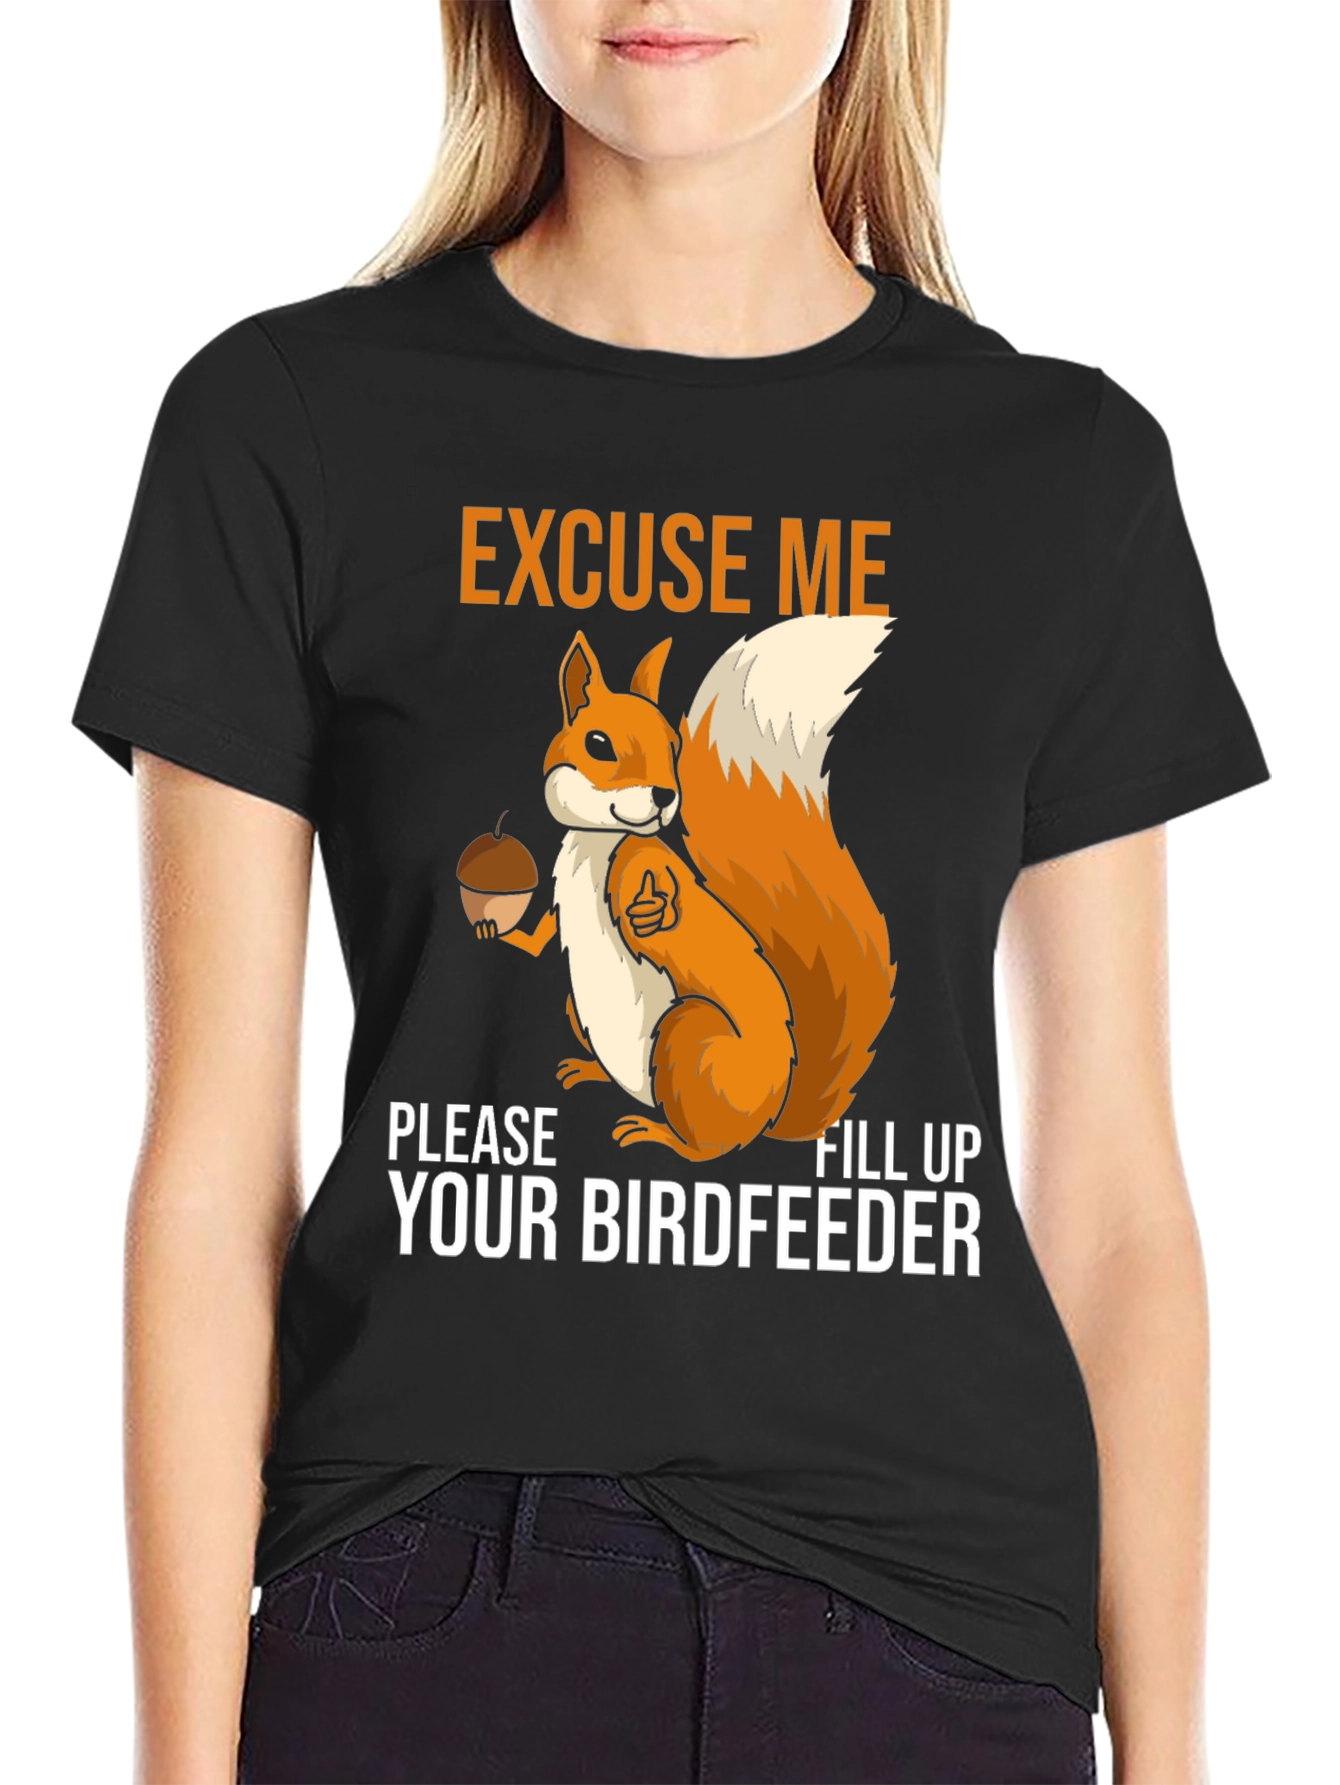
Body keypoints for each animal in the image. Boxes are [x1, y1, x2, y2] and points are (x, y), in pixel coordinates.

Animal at [477, 615, 896, 1161]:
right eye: (597, 743)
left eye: (673, 746)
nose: (664, 795)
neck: (600, 842)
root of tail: (768, 1115)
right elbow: (536, 937)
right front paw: (495, 929)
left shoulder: (647, 859)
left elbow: (662, 889)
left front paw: (654, 912)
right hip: (579, 1008)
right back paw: (591, 1071)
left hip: (688, 1032)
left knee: (706, 1147)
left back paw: (659, 1133)